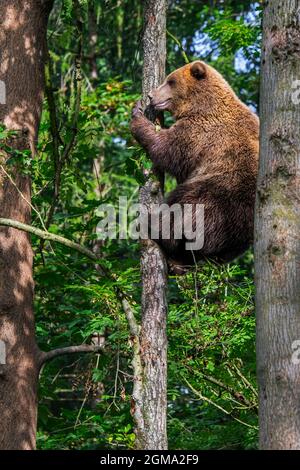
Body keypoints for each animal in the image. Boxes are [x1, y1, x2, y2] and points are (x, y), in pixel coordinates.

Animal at [131, 61, 260, 272]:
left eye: (170, 81)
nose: (151, 95)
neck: (201, 103)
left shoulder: (200, 132)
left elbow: (167, 147)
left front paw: (136, 115)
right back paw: (178, 263)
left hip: (213, 196)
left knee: (178, 211)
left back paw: (150, 223)